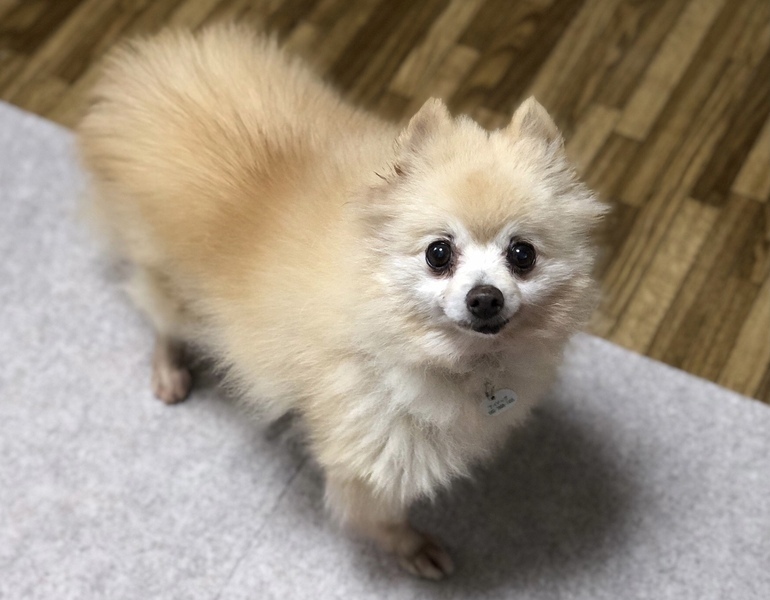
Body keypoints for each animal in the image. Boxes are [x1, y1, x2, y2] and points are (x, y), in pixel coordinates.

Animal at [77, 24, 605, 579]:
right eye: (438, 253)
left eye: (522, 254)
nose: (485, 298)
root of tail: (144, 73)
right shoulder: (371, 442)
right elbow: (378, 514)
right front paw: (410, 547)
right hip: (172, 281)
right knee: (161, 319)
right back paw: (169, 368)